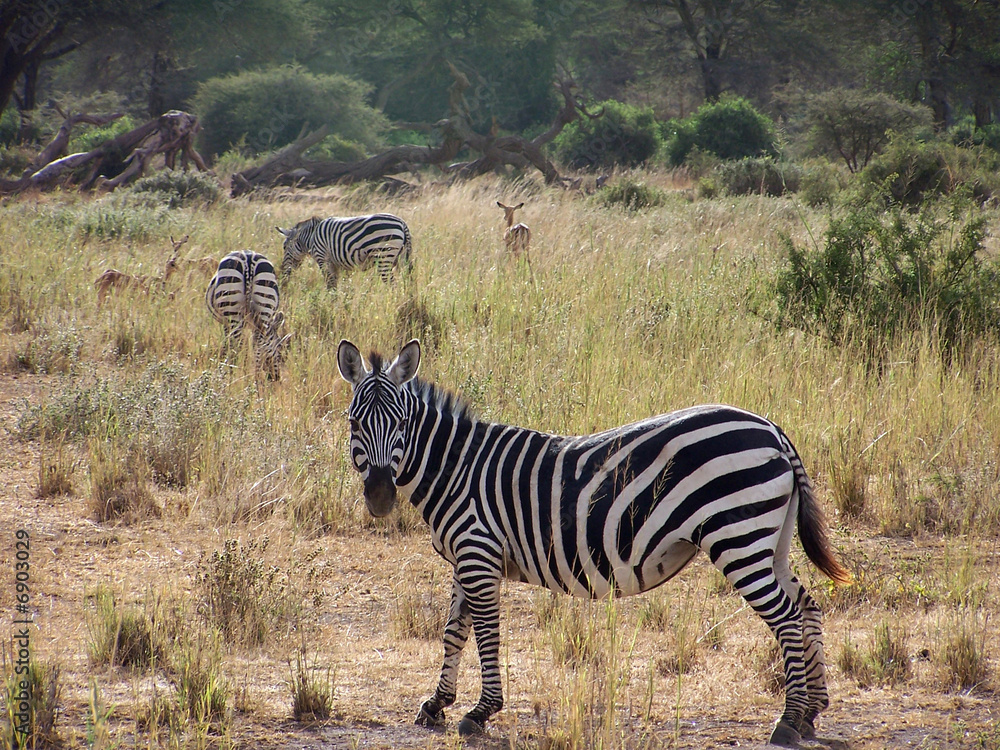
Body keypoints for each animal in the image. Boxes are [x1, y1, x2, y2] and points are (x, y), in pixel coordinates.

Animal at [205, 251, 291, 380]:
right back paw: (255, 378)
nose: (276, 378)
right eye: (280, 347)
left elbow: (229, 344)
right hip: (264, 305)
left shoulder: (227, 323)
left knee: (238, 346)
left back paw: (236, 376)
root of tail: (248, 260)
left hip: (233, 309)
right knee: (257, 345)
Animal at [275, 213, 412, 289]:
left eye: (284, 247)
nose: (282, 274)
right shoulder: (339, 264)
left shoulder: (323, 259)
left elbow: (330, 284)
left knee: (392, 285)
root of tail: (402, 223)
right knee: (404, 282)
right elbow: (340, 284)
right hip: (401, 259)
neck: (311, 237)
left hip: (384, 255)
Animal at [336, 338, 851, 747]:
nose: (379, 497)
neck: (458, 468)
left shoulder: (478, 553)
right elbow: (453, 631)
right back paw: (812, 712)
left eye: (401, 424)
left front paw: (481, 711)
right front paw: (436, 703)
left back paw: (788, 720)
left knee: (786, 616)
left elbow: (485, 633)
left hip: (738, 537)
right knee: (806, 606)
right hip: (771, 539)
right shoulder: (466, 559)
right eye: (354, 423)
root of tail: (773, 430)